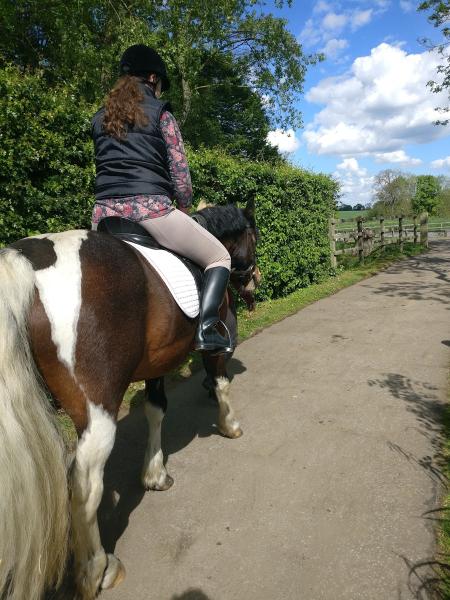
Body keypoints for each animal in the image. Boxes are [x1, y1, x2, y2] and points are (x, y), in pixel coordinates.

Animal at [0, 202, 260, 600]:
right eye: (253, 236)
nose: (253, 281)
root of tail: (27, 262)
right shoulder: (216, 344)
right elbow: (220, 382)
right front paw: (230, 425)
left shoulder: (158, 358)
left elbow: (155, 410)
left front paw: (154, 474)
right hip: (97, 412)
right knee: (86, 487)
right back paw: (96, 570)